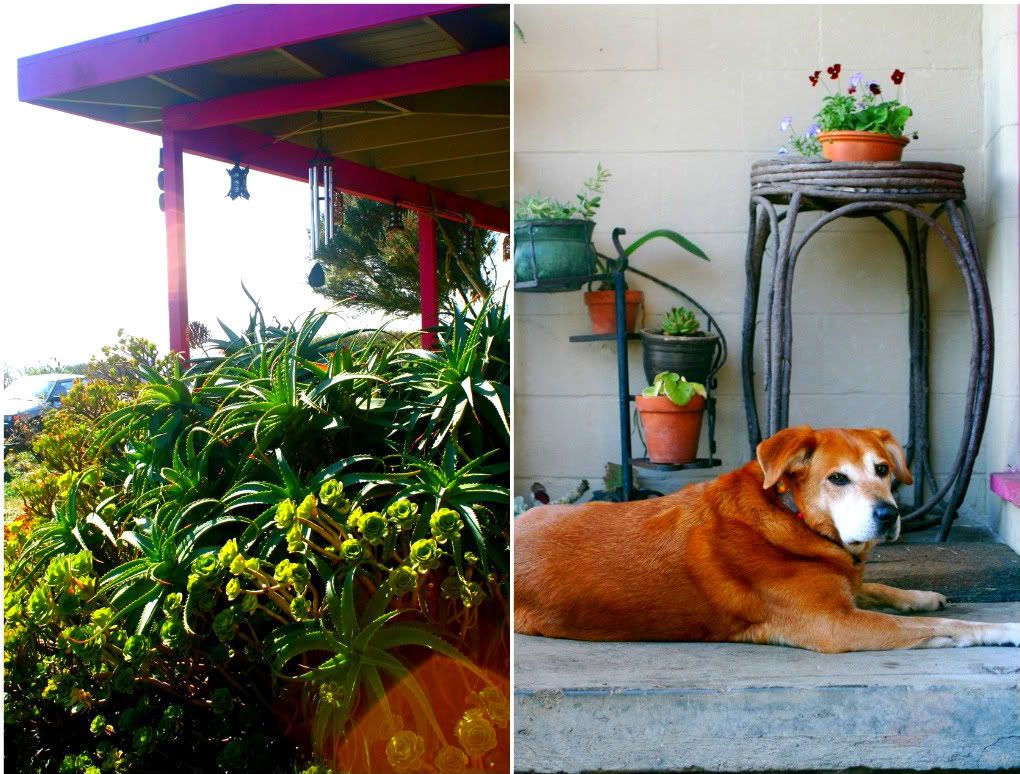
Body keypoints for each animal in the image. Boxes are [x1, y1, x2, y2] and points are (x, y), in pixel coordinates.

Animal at [518, 426, 1020, 652]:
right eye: (838, 478)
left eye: (882, 469)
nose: (889, 514)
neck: (793, 516)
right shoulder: (836, 625)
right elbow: (942, 627)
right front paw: (998, 630)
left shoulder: (845, 593)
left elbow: (877, 587)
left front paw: (919, 596)